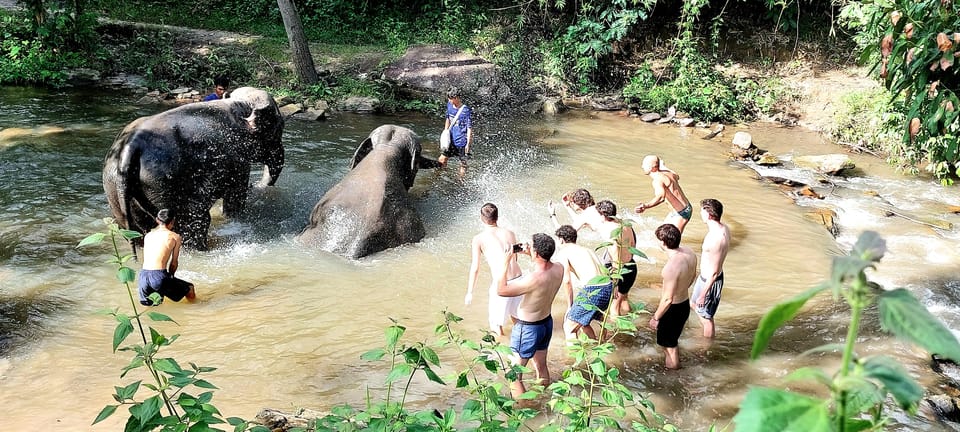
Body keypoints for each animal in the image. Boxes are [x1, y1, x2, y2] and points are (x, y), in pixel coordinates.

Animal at [105, 87, 286, 250]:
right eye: (279, 127)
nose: (255, 185)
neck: (239, 103)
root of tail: (130, 147)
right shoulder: (237, 158)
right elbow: (235, 196)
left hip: (117, 189)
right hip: (162, 184)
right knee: (195, 223)